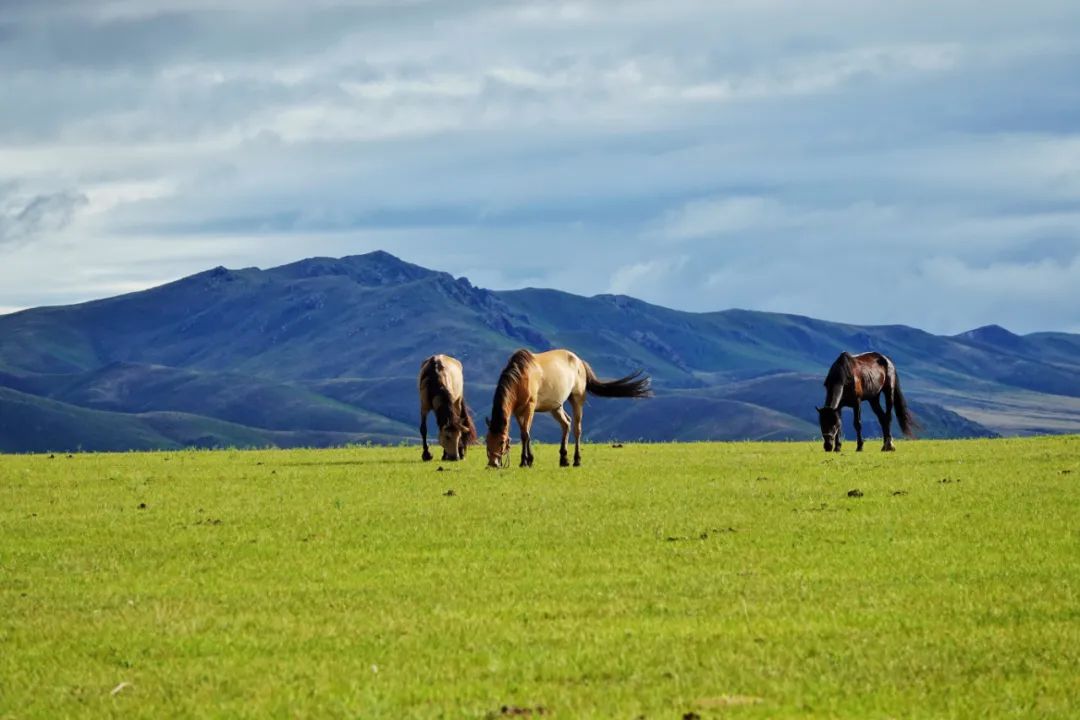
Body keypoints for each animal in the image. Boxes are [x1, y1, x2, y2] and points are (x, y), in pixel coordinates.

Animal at [488, 347, 652, 470]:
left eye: (501, 442)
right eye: (488, 441)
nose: (492, 464)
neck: (522, 376)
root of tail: (580, 362)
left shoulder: (530, 407)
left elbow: (525, 434)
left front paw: (525, 461)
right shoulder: (517, 412)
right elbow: (526, 433)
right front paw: (529, 460)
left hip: (577, 400)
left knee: (576, 428)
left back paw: (576, 460)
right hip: (556, 407)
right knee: (566, 423)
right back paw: (564, 459)